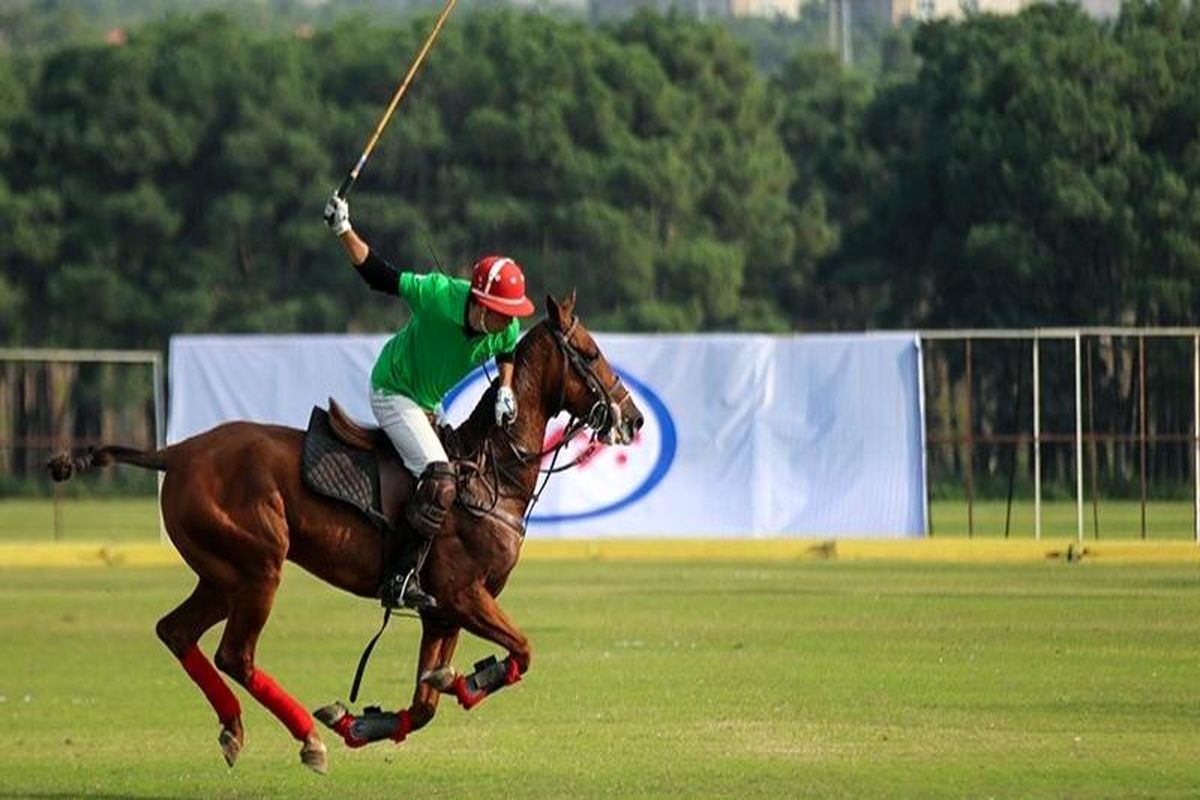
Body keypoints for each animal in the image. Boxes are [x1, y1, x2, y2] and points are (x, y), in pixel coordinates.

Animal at [46, 296, 643, 777]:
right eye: (591, 353)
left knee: (175, 632)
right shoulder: (462, 596)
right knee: (234, 654)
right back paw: (307, 739)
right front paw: (464, 680)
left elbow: (424, 704)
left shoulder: (442, 613)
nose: (634, 420)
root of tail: (177, 451)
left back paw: (235, 727)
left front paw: (364, 720)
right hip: (258, 567)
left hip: (221, 573)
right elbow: (520, 650)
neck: (493, 474)